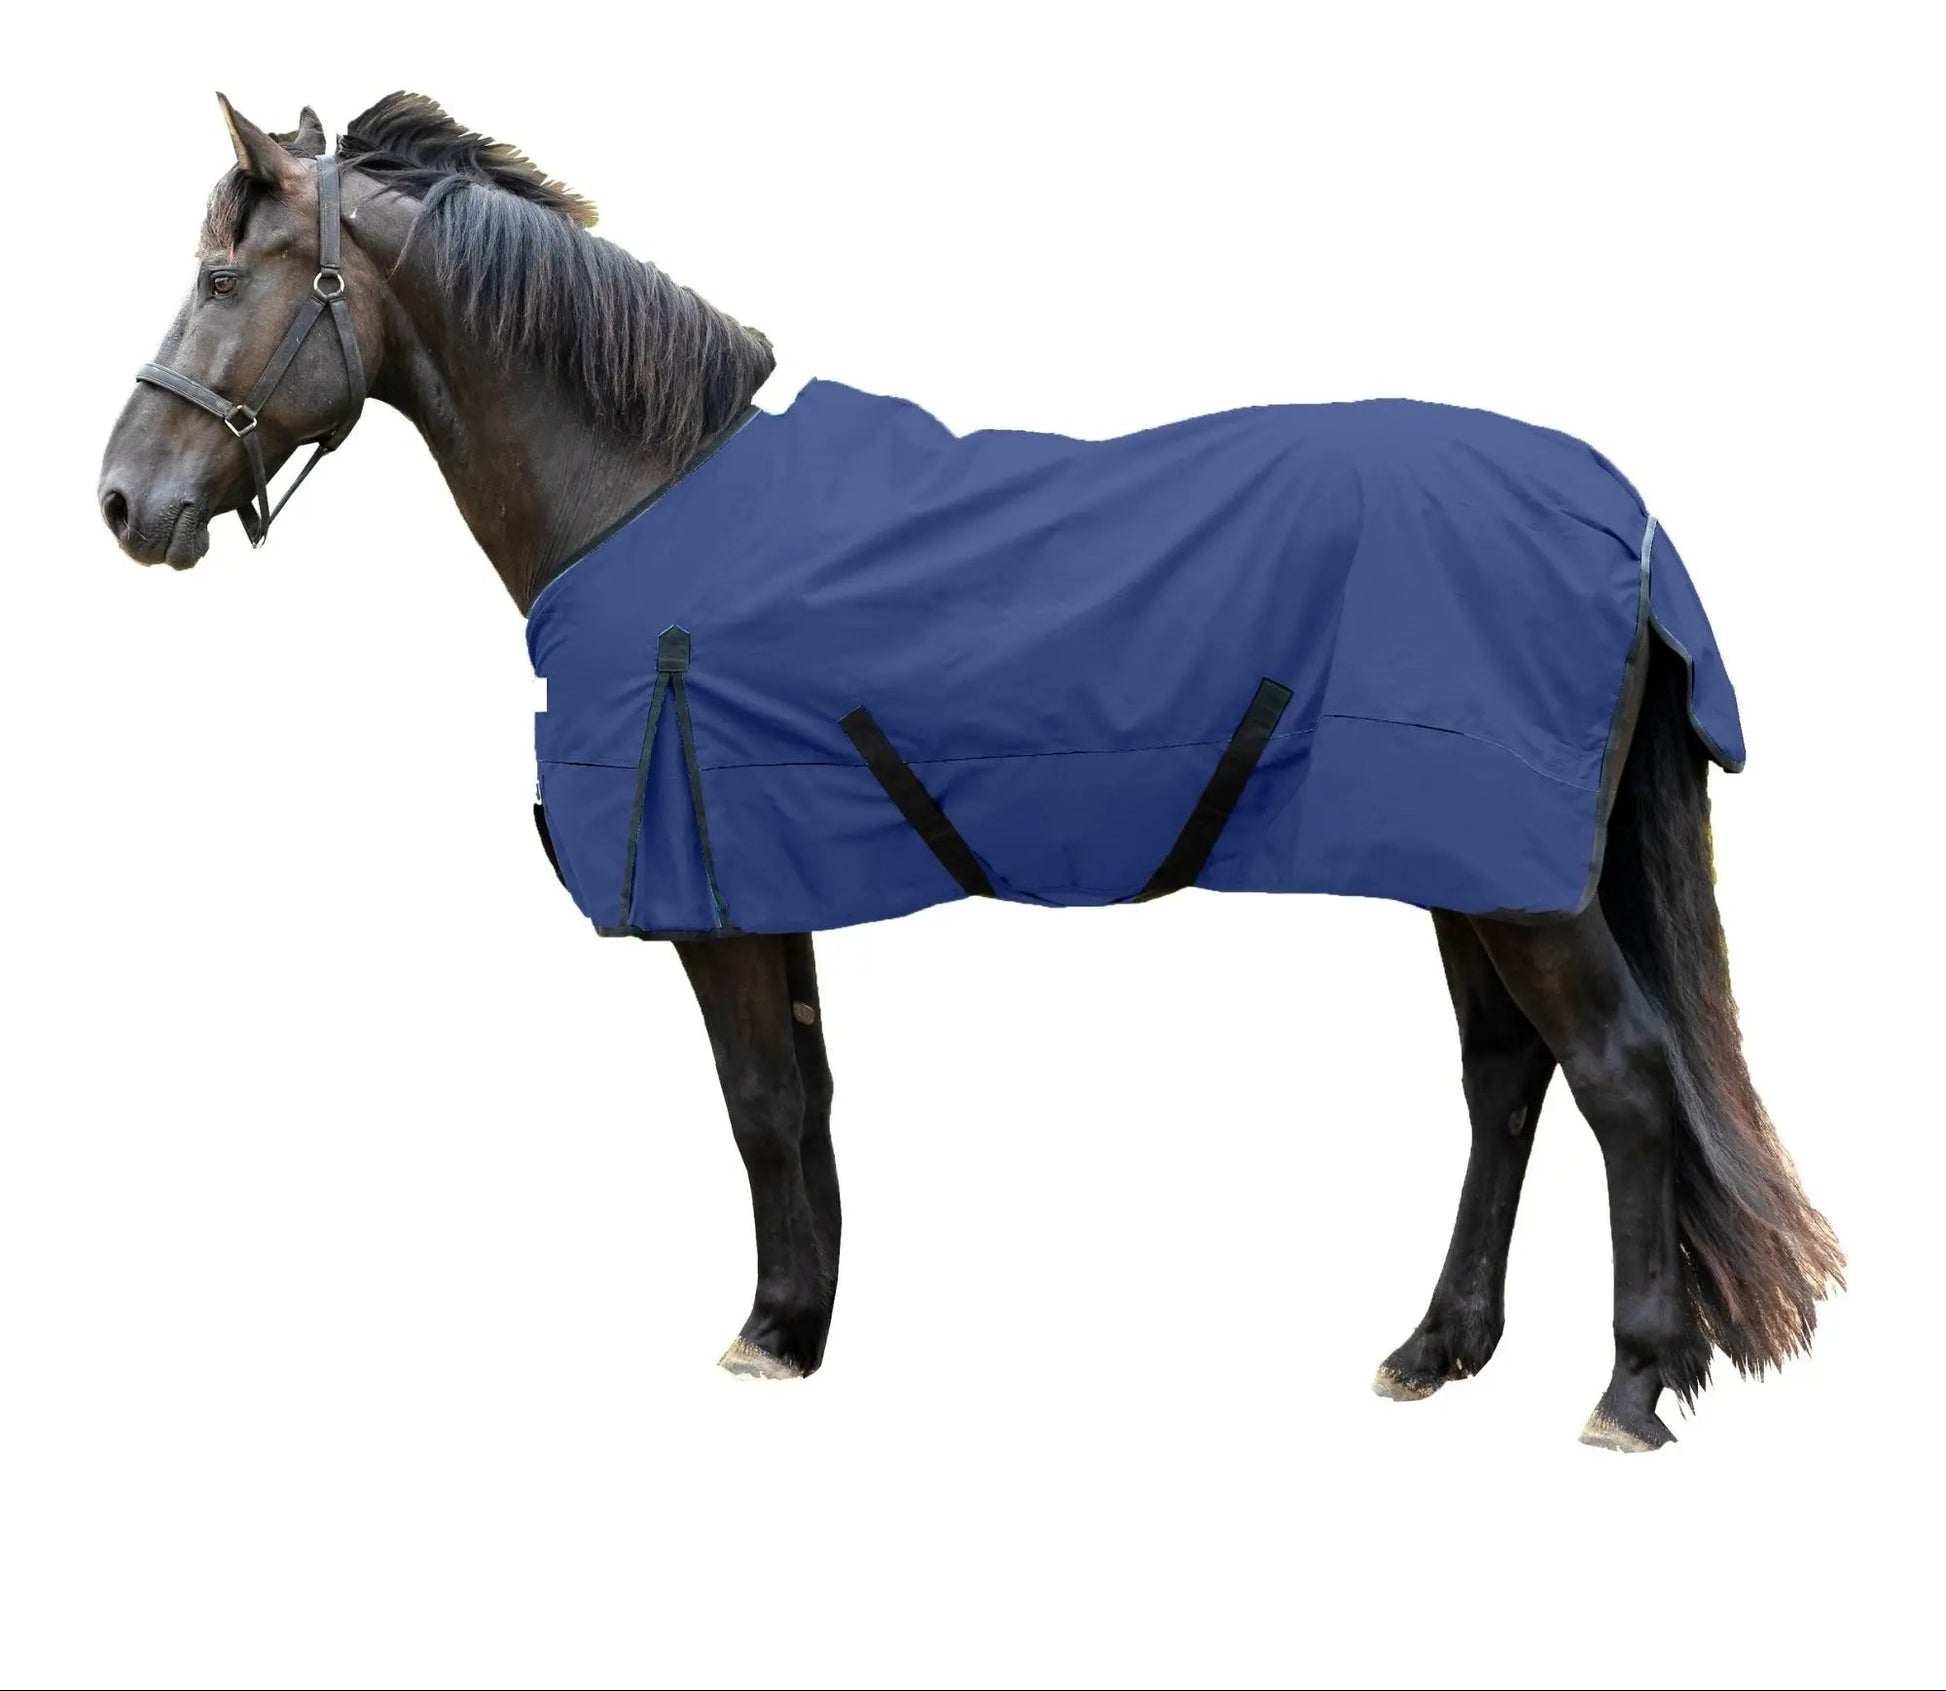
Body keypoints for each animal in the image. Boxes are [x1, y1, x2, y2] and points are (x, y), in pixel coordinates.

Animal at [97, 92, 1842, 1451]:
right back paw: (1437, 1347)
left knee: (1620, 1079)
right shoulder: (766, 875)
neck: (647, 492)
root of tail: (1619, 514)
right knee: (1504, 1080)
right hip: (1464, 870)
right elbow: (801, 1098)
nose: (121, 500)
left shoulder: (716, 894)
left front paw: (765, 1332)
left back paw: (1627, 1385)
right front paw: (801, 1320)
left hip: (1515, 884)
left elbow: (756, 1101)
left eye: (218, 275)